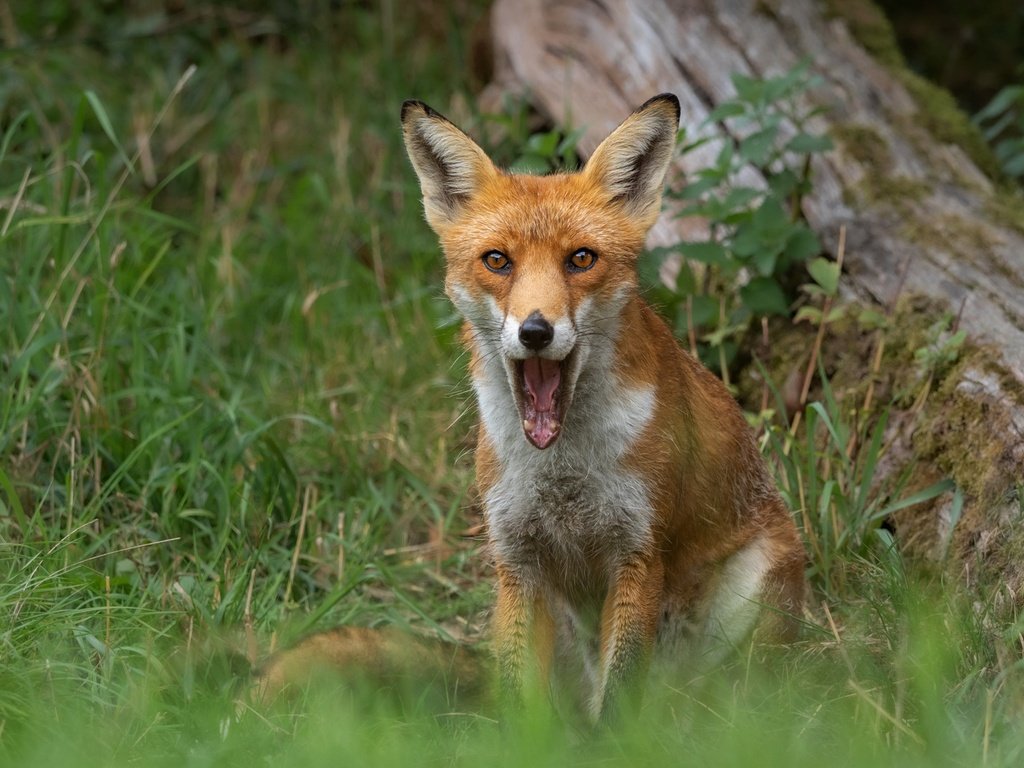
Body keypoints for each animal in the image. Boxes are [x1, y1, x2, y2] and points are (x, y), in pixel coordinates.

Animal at [397, 93, 806, 724]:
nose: (535, 331)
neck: (562, 471)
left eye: (581, 259)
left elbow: (619, 700)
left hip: (753, 602)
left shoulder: (638, 553)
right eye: (498, 261)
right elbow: (517, 702)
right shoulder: (517, 562)